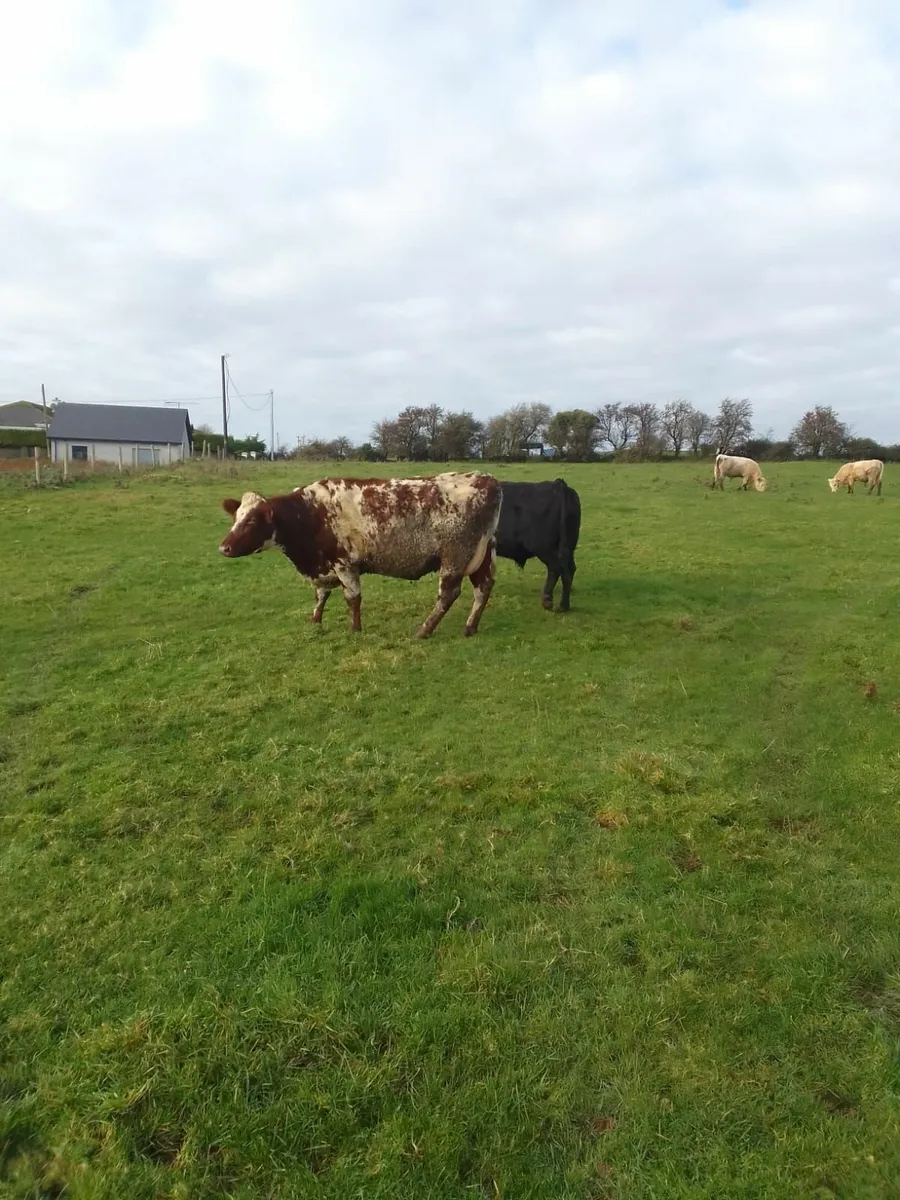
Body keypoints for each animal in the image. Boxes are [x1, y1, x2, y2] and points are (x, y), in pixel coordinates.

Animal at [218, 472, 502, 638]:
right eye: (236, 517)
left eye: (252, 521)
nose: (224, 548)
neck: (309, 513)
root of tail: (484, 478)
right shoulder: (323, 566)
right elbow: (321, 594)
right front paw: (315, 619)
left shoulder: (344, 563)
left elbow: (352, 598)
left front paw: (355, 629)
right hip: (482, 553)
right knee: (483, 587)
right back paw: (470, 626)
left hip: (455, 557)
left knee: (448, 595)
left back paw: (424, 630)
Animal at [494, 479, 581, 612]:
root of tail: (558, 486)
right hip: (569, 547)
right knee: (569, 571)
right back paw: (564, 606)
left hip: (544, 548)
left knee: (556, 567)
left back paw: (547, 601)